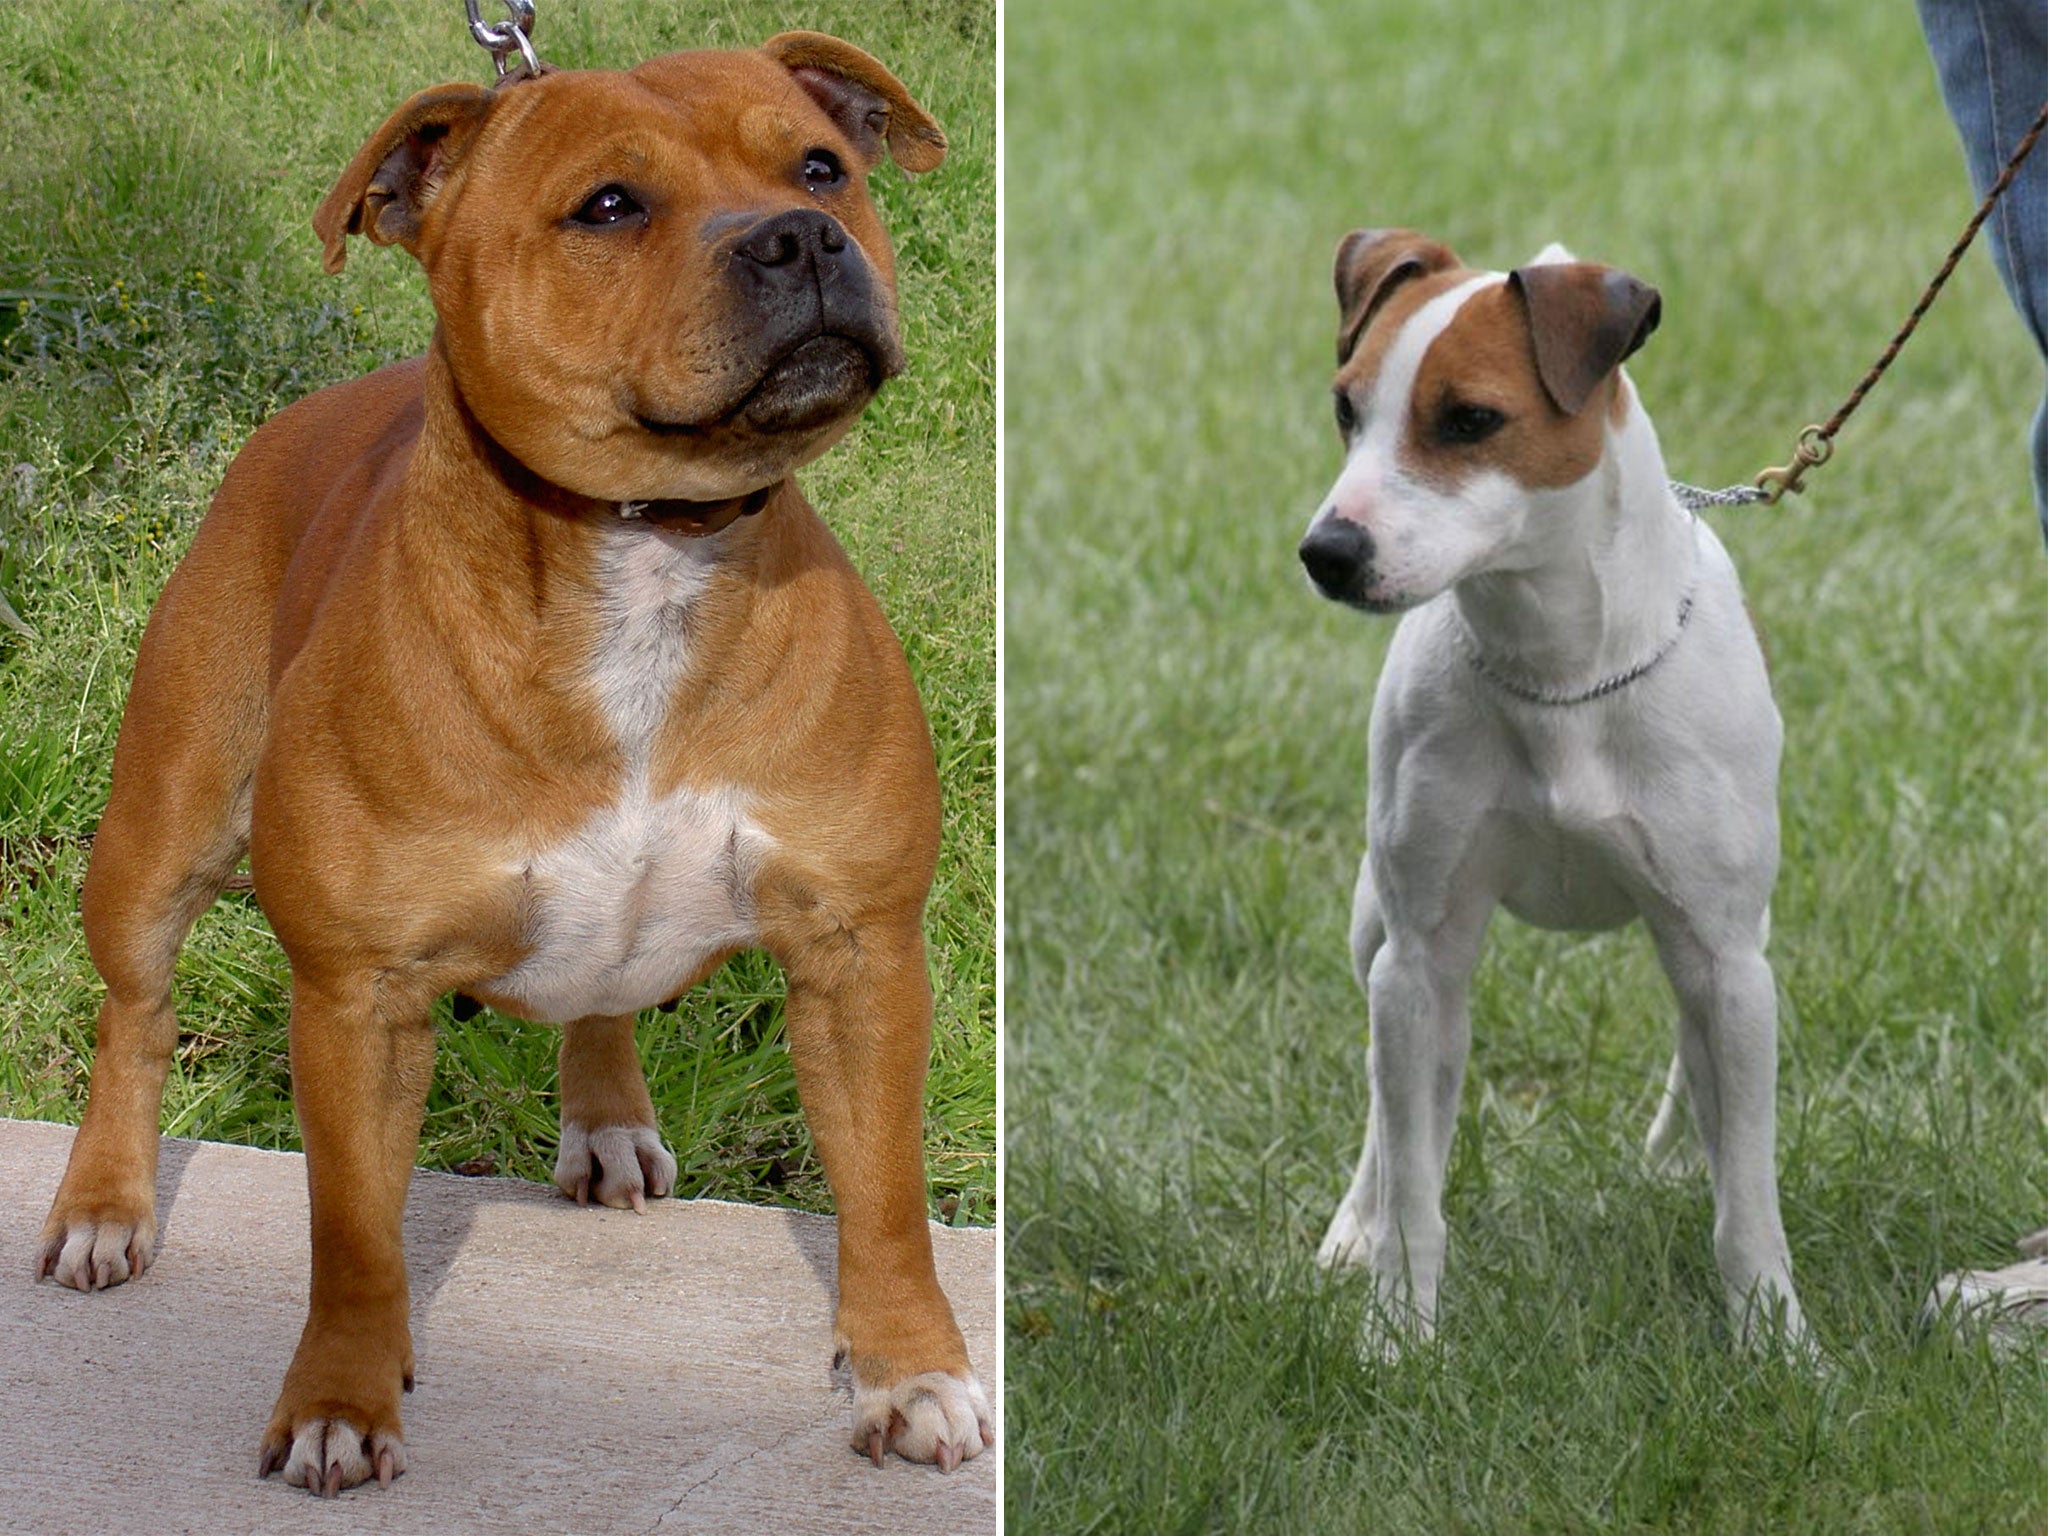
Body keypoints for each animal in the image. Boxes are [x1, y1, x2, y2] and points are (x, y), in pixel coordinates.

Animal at [29, 33, 991, 1507]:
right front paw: (340, 1399)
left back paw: (605, 1121)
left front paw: (909, 1372)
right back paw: (103, 1207)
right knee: (133, 1016)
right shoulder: (359, 999)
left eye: (824, 166)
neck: (648, 549)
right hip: (157, 836)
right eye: (608, 207)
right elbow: (353, 1238)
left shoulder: (860, 954)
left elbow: (882, 1199)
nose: (800, 236)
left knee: (599, 1001)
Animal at [1302, 228, 1802, 1343]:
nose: (1326, 551)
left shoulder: (1724, 957)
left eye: (1469, 420)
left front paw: (1777, 1341)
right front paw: (1396, 1336)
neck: (1564, 677)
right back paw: (1354, 1224)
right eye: (1347, 409)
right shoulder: (1422, 956)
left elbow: (1748, 1194)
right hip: (1374, 929)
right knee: (1386, 1110)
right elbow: (1414, 1184)